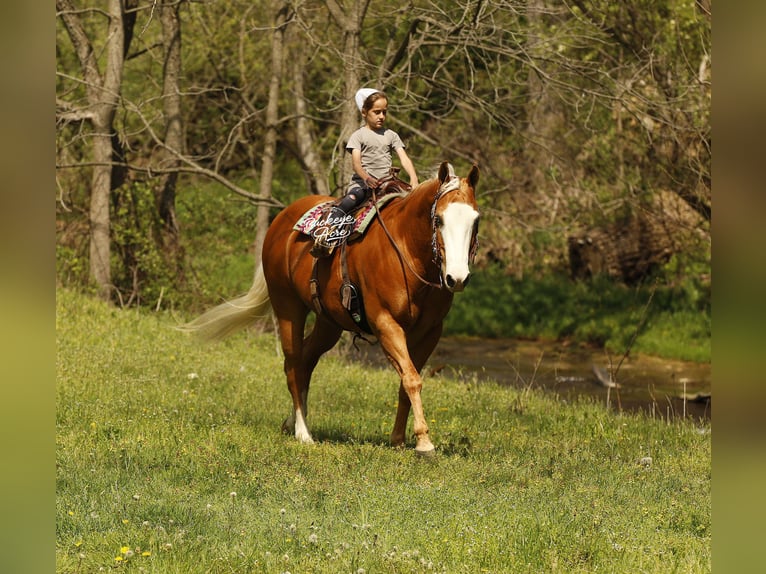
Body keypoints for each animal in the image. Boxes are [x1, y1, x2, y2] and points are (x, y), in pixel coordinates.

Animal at [185, 161, 479, 455]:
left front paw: (398, 439)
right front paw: (424, 443)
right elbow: (411, 379)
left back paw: (291, 423)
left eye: (475, 220)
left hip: (328, 323)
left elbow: (407, 380)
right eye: (439, 219)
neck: (406, 251)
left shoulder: (430, 332)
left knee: (305, 361)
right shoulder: (385, 324)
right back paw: (303, 433)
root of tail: (280, 222)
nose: (457, 278)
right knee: (293, 364)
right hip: (288, 308)